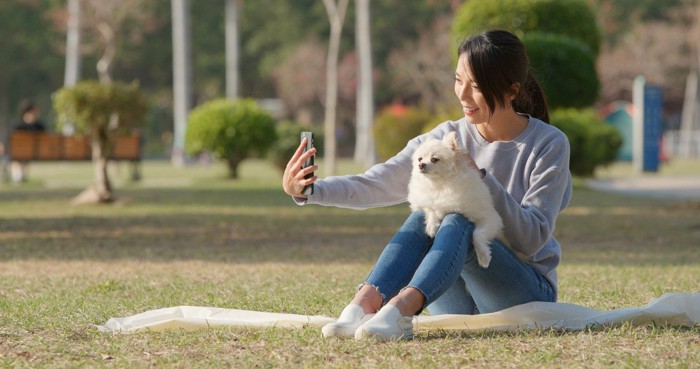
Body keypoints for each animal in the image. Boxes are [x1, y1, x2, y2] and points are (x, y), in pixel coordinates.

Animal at [408, 131, 506, 266]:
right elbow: (430, 208)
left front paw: (483, 256)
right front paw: (431, 226)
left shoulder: (490, 218)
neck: (439, 185)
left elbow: (477, 234)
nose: (421, 165)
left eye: (434, 159)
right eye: (420, 159)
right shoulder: (423, 202)